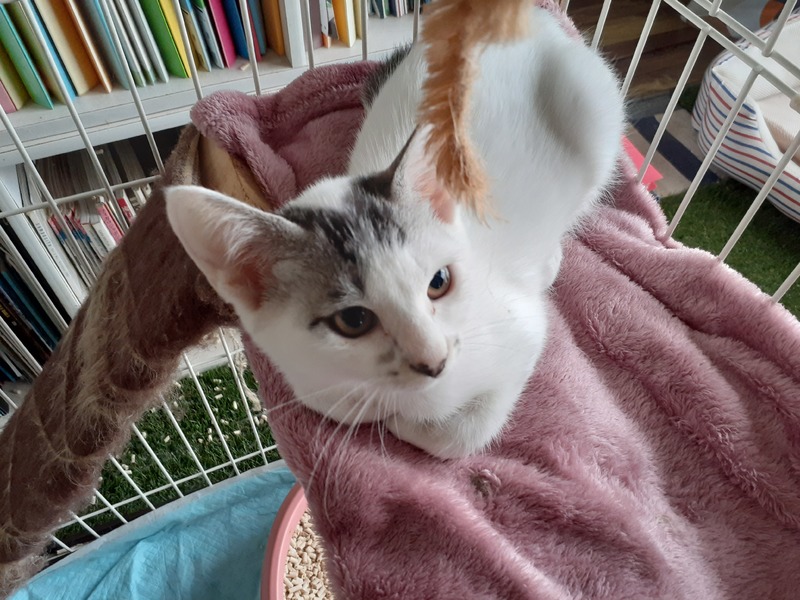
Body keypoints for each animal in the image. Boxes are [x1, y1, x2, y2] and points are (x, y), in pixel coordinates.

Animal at [165, 5, 625, 459]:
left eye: (439, 282)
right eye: (353, 320)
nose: (434, 360)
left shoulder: (520, 330)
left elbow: (462, 432)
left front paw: (412, 426)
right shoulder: (315, 388)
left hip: (594, 112)